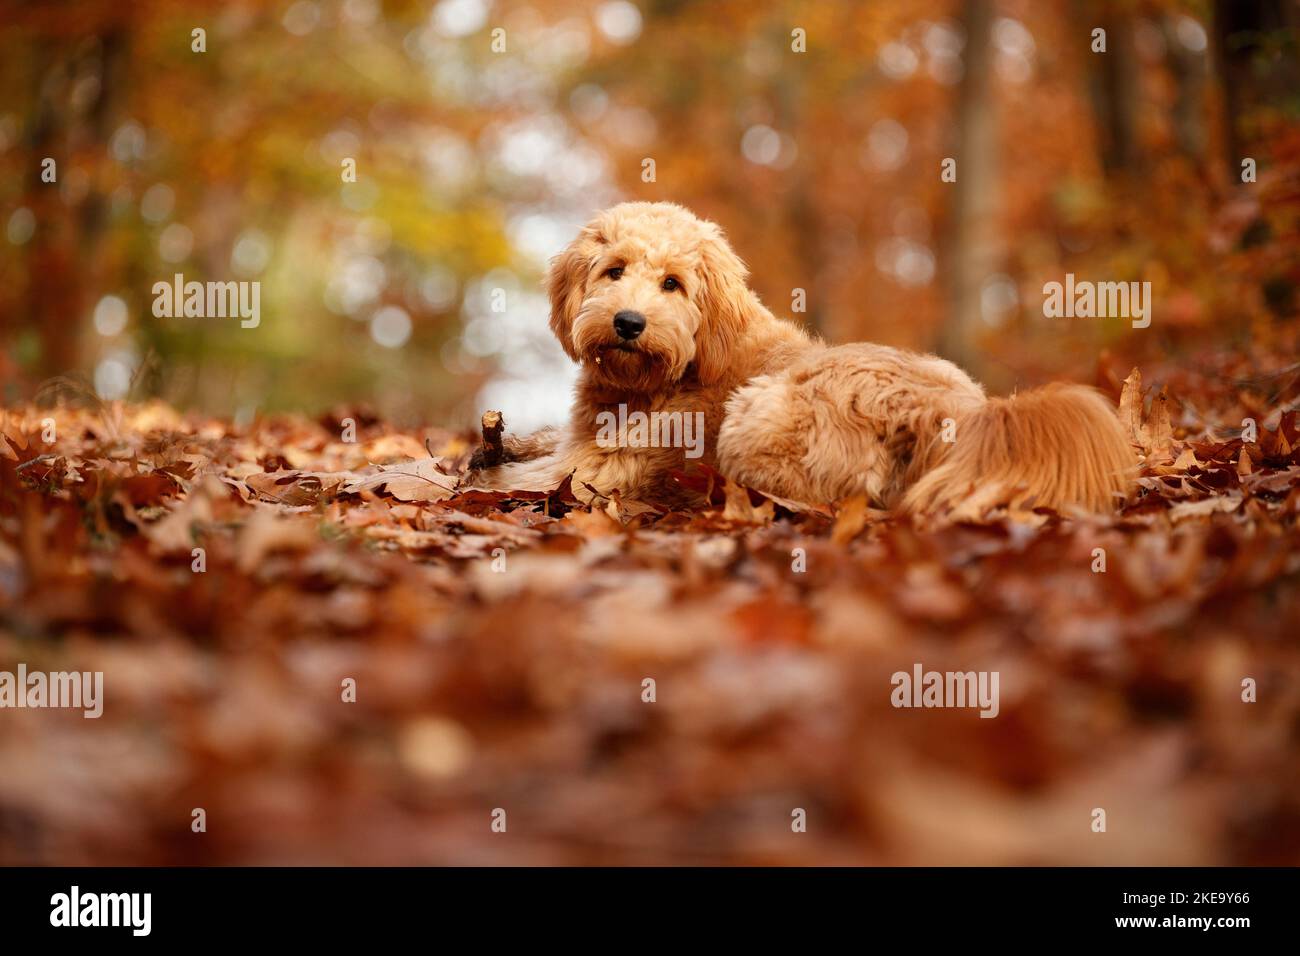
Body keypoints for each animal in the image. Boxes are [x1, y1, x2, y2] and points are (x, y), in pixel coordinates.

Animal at [473, 199, 1133, 520]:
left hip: (757, 415)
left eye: (672, 284)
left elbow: (527, 478)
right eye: (614, 271)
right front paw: (504, 443)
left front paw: (479, 473)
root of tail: (952, 415)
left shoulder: (604, 467)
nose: (628, 323)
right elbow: (544, 441)